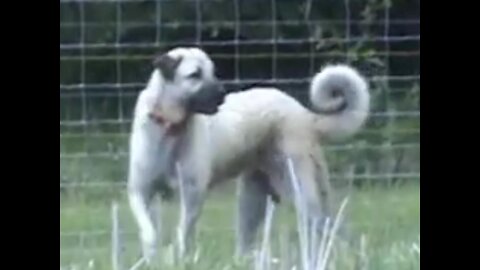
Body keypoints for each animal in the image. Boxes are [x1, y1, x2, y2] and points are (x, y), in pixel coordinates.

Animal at [125, 47, 370, 264]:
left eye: (213, 72)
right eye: (194, 75)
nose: (222, 94)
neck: (169, 127)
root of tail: (305, 114)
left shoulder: (192, 195)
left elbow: (182, 231)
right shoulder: (140, 192)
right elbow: (149, 231)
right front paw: (152, 256)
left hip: (300, 192)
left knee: (324, 226)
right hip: (251, 200)